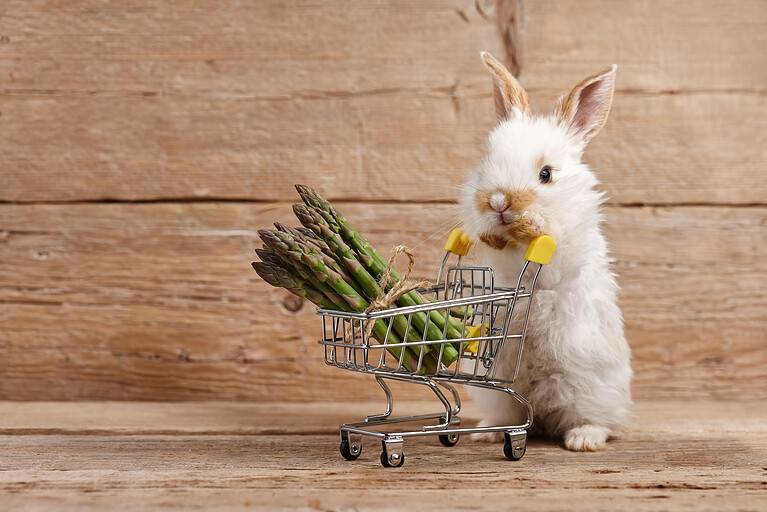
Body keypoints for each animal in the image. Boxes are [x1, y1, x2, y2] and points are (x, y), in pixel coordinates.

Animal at [458, 52, 632, 451]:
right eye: (486, 161)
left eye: (546, 174)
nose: (498, 201)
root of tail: (540, 415)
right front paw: (493, 233)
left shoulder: (562, 249)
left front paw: (533, 223)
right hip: (495, 388)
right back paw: (485, 432)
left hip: (589, 385)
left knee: (599, 420)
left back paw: (583, 439)